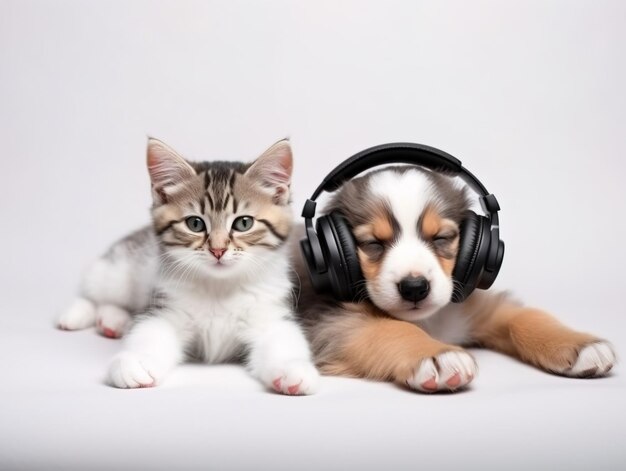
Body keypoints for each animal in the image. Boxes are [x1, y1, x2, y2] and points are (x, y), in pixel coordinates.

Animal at [58, 137, 316, 394]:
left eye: (244, 223)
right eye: (195, 224)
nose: (218, 250)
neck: (219, 287)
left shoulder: (270, 313)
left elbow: (283, 339)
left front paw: (293, 368)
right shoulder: (166, 307)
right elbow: (150, 331)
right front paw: (136, 363)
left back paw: (112, 320)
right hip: (119, 272)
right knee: (96, 290)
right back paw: (76, 314)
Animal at [294, 145, 612, 394]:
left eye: (441, 238)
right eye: (373, 243)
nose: (414, 288)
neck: (431, 321)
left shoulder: (479, 307)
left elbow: (525, 316)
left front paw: (579, 344)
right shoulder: (331, 324)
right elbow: (388, 329)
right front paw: (436, 355)